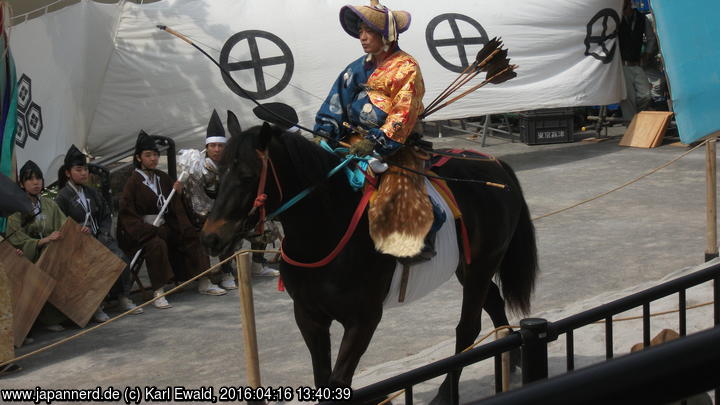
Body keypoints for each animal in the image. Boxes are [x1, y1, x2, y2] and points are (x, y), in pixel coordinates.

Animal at [200, 112, 536, 402]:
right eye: (216, 173)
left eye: (247, 176)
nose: (210, 237)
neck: (326, 230)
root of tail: (496, 165)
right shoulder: (308, 314)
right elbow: (323, 379)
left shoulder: (363, 318)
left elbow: (337, 380)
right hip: (468, 266)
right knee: (493, 302)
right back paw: (513, 358)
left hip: (483, 262)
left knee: (467, 327)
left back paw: (446, 392)